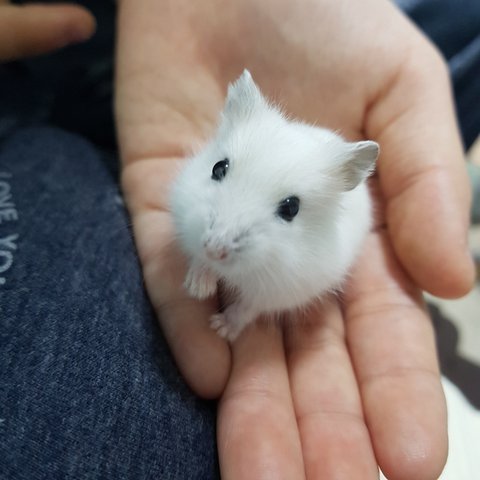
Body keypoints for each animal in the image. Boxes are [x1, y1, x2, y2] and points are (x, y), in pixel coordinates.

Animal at [170, 70, 379, 341]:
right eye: (218, 168)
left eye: (291, 208)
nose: (215, 250)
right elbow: (198, 258)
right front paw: (197, 290)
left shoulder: (276, 292)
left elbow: (246, 308)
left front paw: (220, 329)